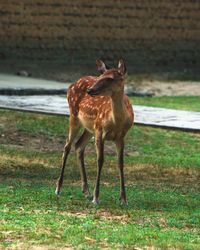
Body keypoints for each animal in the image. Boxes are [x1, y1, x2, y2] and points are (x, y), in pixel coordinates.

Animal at [54, 59, 134, 205]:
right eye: (101, 76)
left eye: (110, 78)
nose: (90, 90)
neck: (116, 122)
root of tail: (72, 85)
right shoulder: (99, 131)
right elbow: (100, 160)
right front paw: (96, 198)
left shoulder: (121, 136)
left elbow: (120, 163)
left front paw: (124, 199)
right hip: (74, 116)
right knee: (67, 146)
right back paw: (58, 189)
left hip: (89, 128)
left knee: (78, 145)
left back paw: (86, 191)